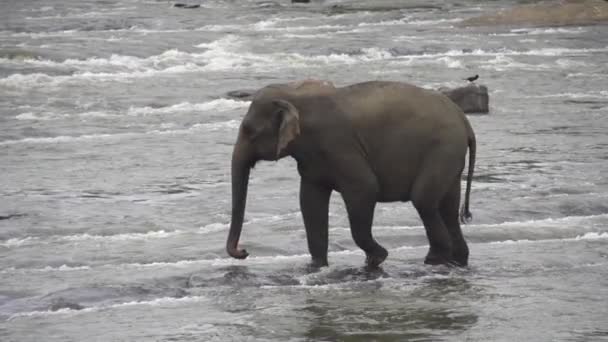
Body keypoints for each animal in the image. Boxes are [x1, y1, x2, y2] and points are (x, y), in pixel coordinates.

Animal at [227, 79, 476, 268]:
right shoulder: (313, 158)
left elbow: (365, 188)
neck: (294, 94)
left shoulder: (338, 145)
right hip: (450, 157)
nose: (244, 251)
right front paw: (317, 266)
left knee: (424, 200)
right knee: (448, 207)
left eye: (250, 131)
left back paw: (434, 260)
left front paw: (377, 258)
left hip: (442, 149)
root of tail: (465, 121)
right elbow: (310, 201)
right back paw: (457, 259)